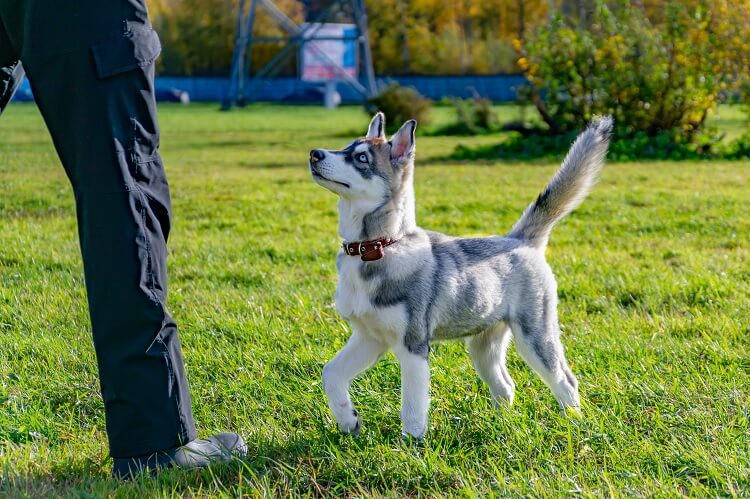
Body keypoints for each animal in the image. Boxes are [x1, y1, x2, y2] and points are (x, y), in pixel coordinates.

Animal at [308, 112, 612, 438]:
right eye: (345, 147)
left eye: (361, 158)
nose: (314, 154)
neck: (377, 247)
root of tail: (519, 239)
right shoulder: (369, 337)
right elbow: (331, 373)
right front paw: (348, 420)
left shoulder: (413, 345)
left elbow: (412, 407)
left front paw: (410, 445)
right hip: (483, 345)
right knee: (506, 385)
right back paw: (500, 427)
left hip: (535, 335)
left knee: (565, 380)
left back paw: (575, 424)